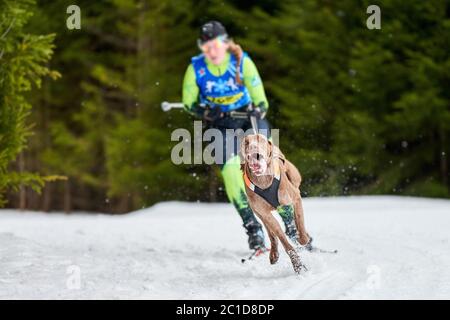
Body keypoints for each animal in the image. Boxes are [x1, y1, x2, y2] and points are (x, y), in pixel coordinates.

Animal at [241, 134, 312, 274]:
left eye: (261, 140)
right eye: (246, 142)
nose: (254, 153)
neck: (263, 180)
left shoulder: (296, 198)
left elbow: (300, 224)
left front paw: (303, 238)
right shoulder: (264, 213)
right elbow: (280, 236)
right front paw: (298, 265)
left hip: (294, 178)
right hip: (259, 212)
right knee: (270, 233)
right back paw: (274, 253)